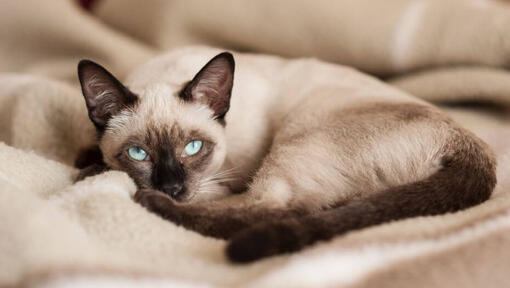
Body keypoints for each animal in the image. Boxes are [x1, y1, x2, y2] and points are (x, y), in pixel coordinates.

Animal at [76, 45, 498, 264]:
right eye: (138, 152)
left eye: (193, 148)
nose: (172, 188)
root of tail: (467, 140)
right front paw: (87, 158)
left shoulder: (221, 178)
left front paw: (93, 171)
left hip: (297, 140)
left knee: (276, 209)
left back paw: (153, 204)